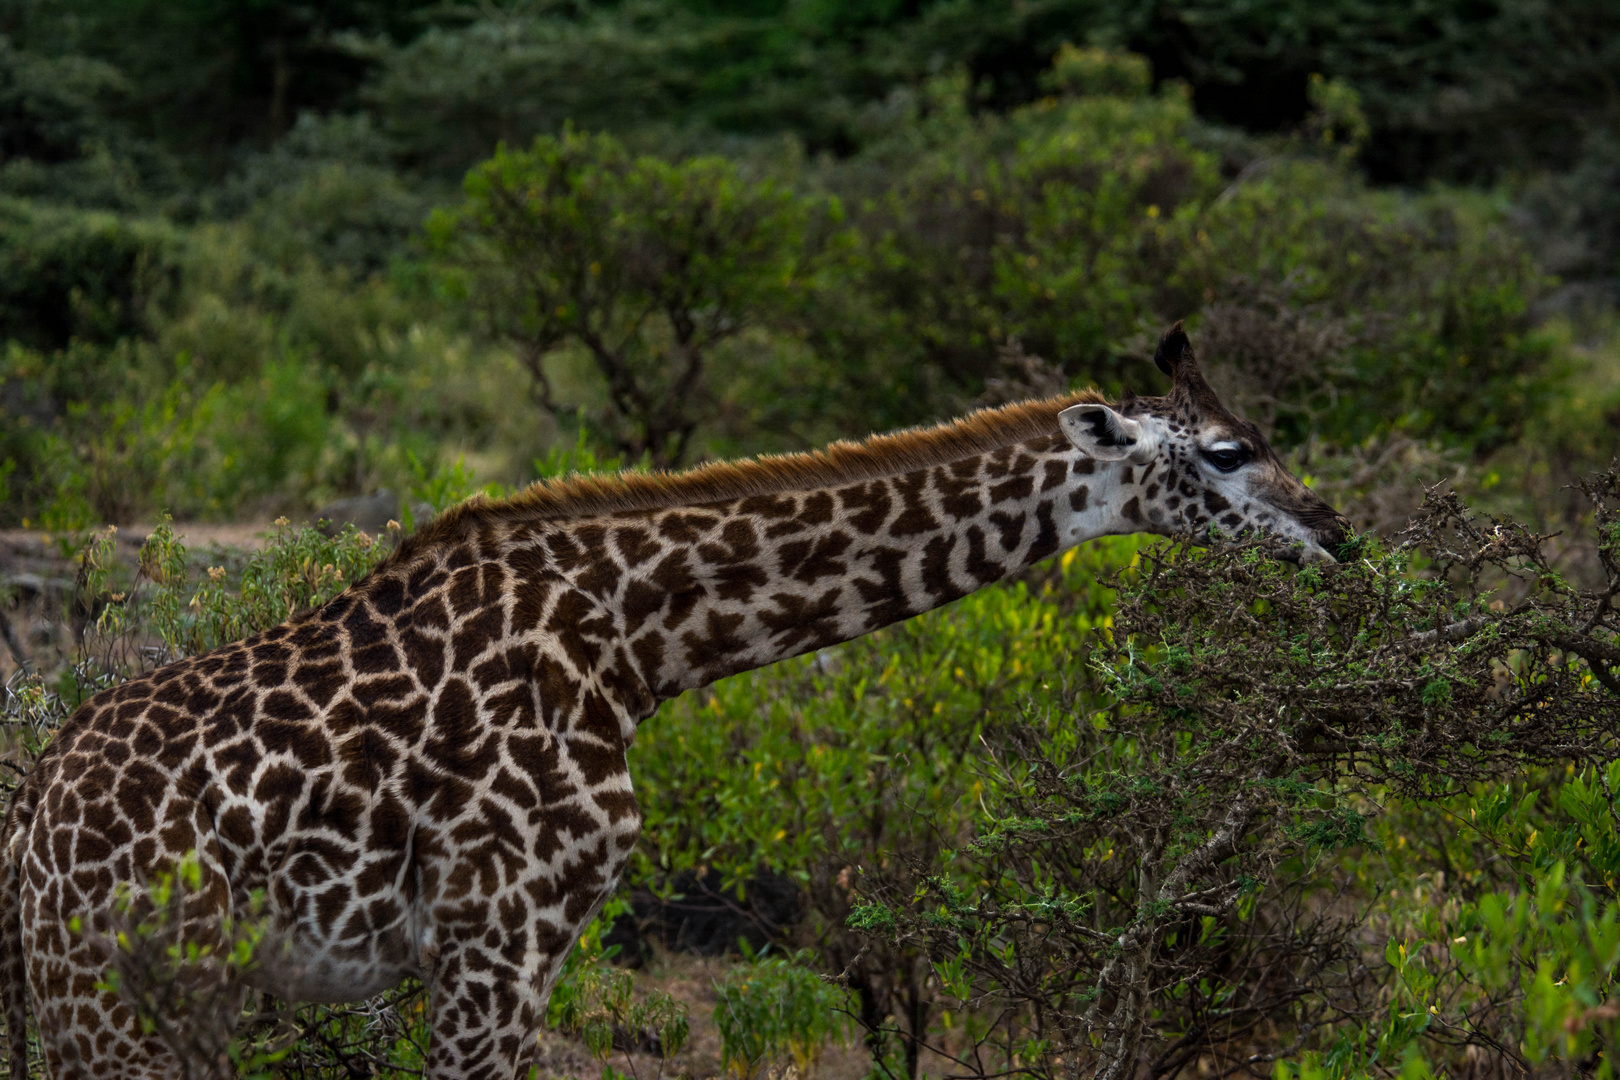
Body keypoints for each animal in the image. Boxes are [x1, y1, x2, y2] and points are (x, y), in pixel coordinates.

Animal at [0, 325, 1341, 1075]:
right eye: (1229, 452)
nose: (1339, 535)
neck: (636, 641)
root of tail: (28, 830)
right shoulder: (499, 935)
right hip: (125, 1000)